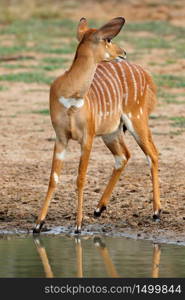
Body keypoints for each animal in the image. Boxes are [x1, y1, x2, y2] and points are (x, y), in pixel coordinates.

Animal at [33, 17, 160, 234]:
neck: (72, 94)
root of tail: (147, 76)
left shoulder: (87, 137)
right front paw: (38, 224)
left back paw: (156, 212)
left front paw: (78, 225)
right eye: (108, 39)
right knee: (124, 156)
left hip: (136, 120)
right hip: (112, 132)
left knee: (152, 154)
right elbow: (53, 178)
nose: (123, 53)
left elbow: (80, 177)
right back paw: (99, 208)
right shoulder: (61, 137)